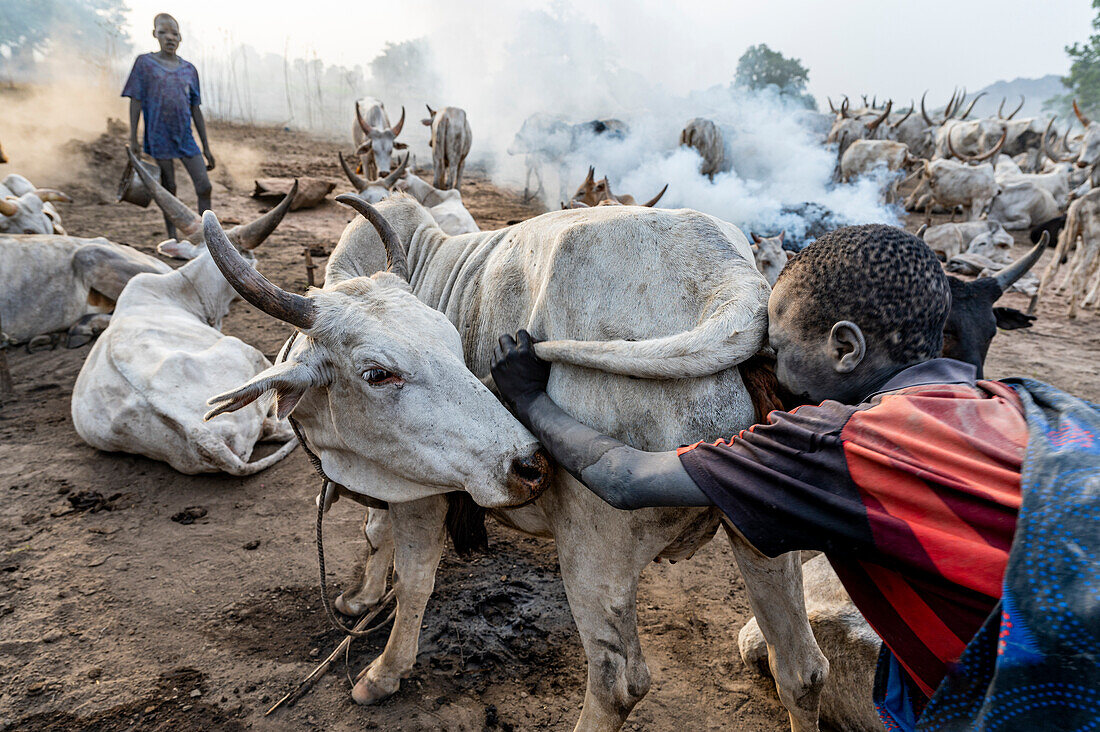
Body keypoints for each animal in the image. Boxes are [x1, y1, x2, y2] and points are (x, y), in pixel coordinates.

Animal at [204, 195, 827, 730]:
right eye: (377, 373)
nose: (527, 463)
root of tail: (730, 284)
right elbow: (375, 533)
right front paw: (359, 598)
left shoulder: (423, 492)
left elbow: (414, 579)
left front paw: (383, 673)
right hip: (762, 527)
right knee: (801, 670)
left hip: (592, 554)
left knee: (618, 683)